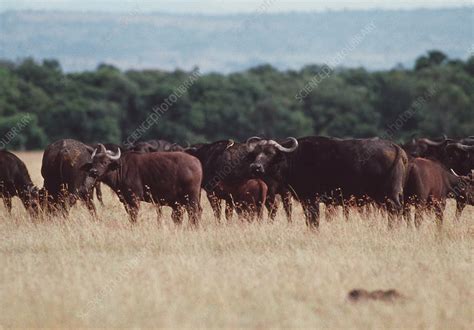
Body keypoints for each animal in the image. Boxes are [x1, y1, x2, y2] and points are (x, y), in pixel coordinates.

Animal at [244, 135, 408, 228]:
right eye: (256, 153)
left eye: (270, 153)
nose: (255, 167)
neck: (295, 159)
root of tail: (396, 147)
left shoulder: (311, 199)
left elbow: (314, 220)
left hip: (389, 195)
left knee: (395, 210)